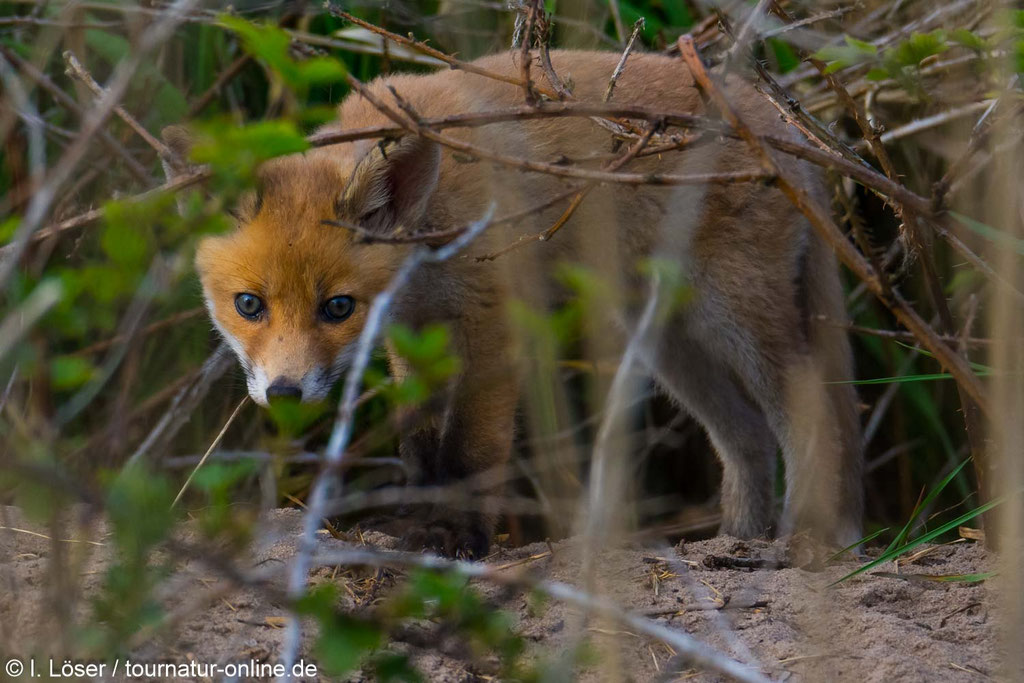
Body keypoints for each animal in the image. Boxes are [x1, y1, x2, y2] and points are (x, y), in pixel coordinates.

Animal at [164, 49, 864, 558]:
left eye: (337, 308)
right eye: (249, 305)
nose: (284, 395)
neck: (433, 240)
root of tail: (781, 123)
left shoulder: (493, 323)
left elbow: (470, 450)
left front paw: (460, 538)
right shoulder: (415, 335)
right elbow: (422, 447)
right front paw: (417, 524)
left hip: (732, 315)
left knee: (812, 408)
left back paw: (802, 539)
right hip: (671, 339)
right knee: (746, 435)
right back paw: (737, 541)